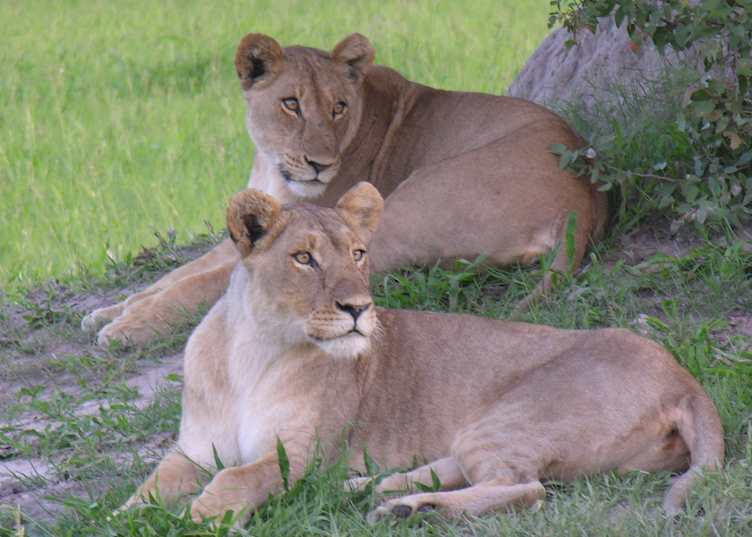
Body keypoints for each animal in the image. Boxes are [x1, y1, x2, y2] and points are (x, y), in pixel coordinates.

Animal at [83, 32, 608, 347]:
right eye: (290, 104)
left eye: (338, 106)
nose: (321, 164)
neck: (273, 165)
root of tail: (583, 199)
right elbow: (180, 272)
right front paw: (111, 310)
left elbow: (198, 281)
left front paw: (127, 327)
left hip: (405, 202)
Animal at [119, 183, 722, 523]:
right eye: (303, 259)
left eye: (359, 254)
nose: (358, 308)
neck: (255, 347)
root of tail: (683, 377)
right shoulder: (193, 451)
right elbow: (148, 488)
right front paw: (130, 513)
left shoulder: (300, 456)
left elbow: (237, 478)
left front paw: (201, 516)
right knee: (456, 471)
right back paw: (373, 494)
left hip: (508, 417)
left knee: (524, 488)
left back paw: (406, 509)